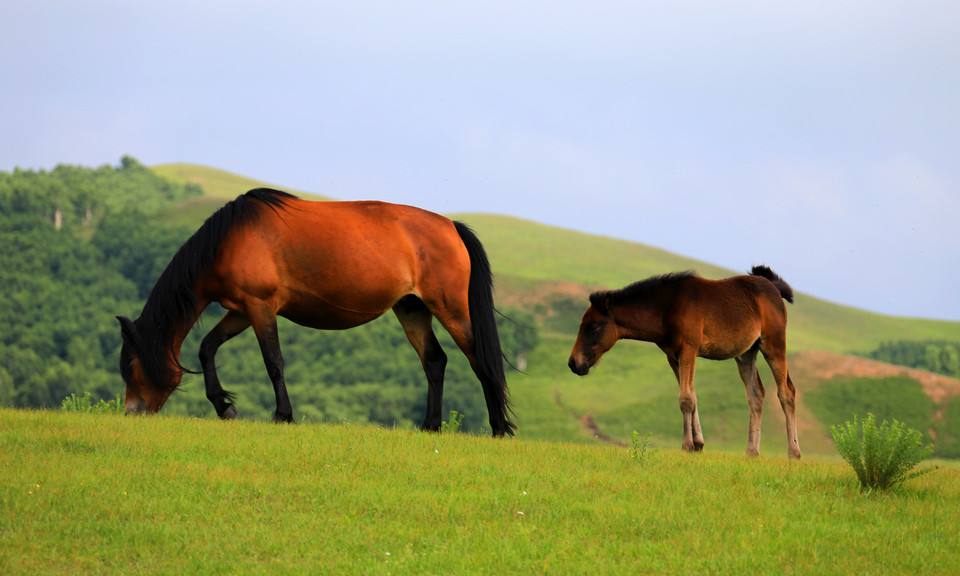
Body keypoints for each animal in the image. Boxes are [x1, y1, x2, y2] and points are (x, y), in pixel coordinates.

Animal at [116, 189, 512, 436]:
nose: (130, 412)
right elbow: (207, 348)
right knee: (434, 361)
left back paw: (499, 428)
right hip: (412, 309)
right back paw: (431, 426)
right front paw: (224, 406)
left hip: (452, 309)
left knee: (479, 360)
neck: (231, 239)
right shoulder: (241, 311)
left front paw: (283, 415)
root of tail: (451, 227)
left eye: (131, 367)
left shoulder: (261, 308)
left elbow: (273, 362)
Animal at [568, 266, 804, 460]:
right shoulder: (673, 356)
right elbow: (692, 395)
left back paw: (794, 453)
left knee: (786, 392)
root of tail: (773, 288)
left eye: (595, 326)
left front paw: (687, 445)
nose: (574, 363)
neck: (666, 309)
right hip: (746, 353)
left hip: (773, 344)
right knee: (756, 394)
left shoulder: (689, 349)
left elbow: (686, 399)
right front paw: (698, 444)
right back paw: (752, 451)